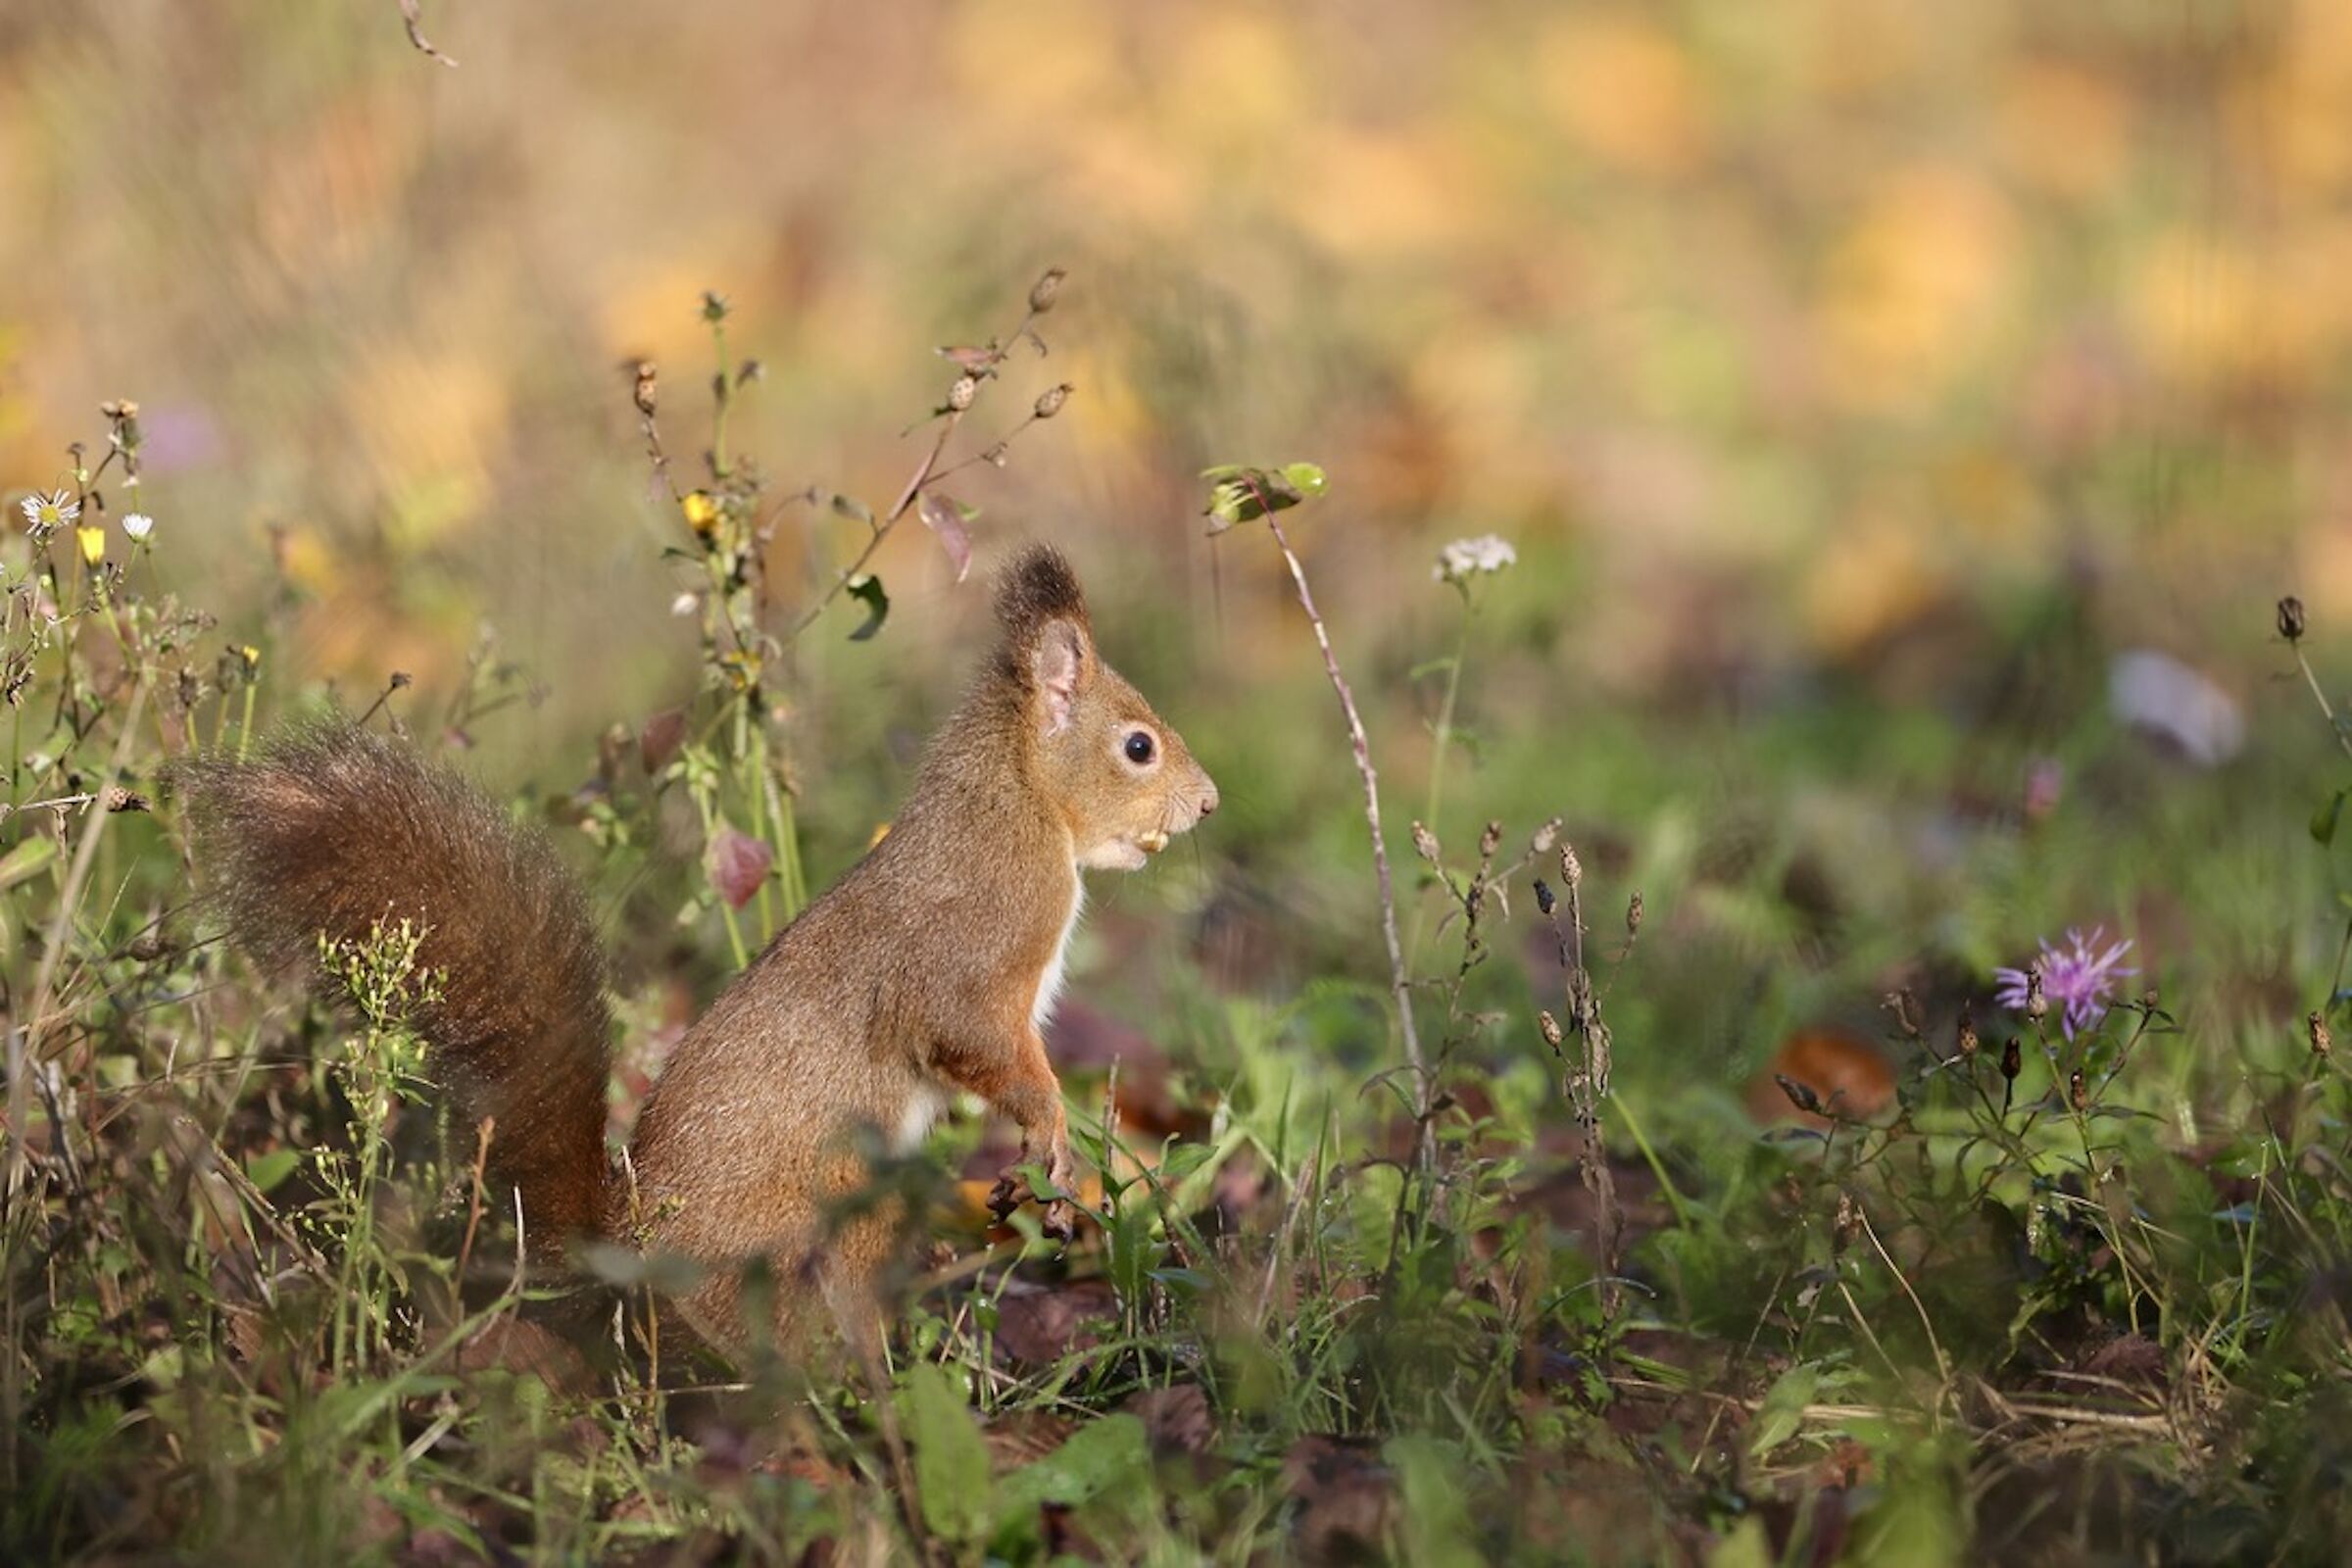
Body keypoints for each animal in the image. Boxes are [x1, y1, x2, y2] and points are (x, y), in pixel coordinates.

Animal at [181, 544, 1219, 1354]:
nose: (1207, 805)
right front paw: (1054, 1140)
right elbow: (973, 1040)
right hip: (823, 1216)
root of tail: (631, 1247)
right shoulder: (978, 945)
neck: (1024, 805)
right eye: (1138, 746)